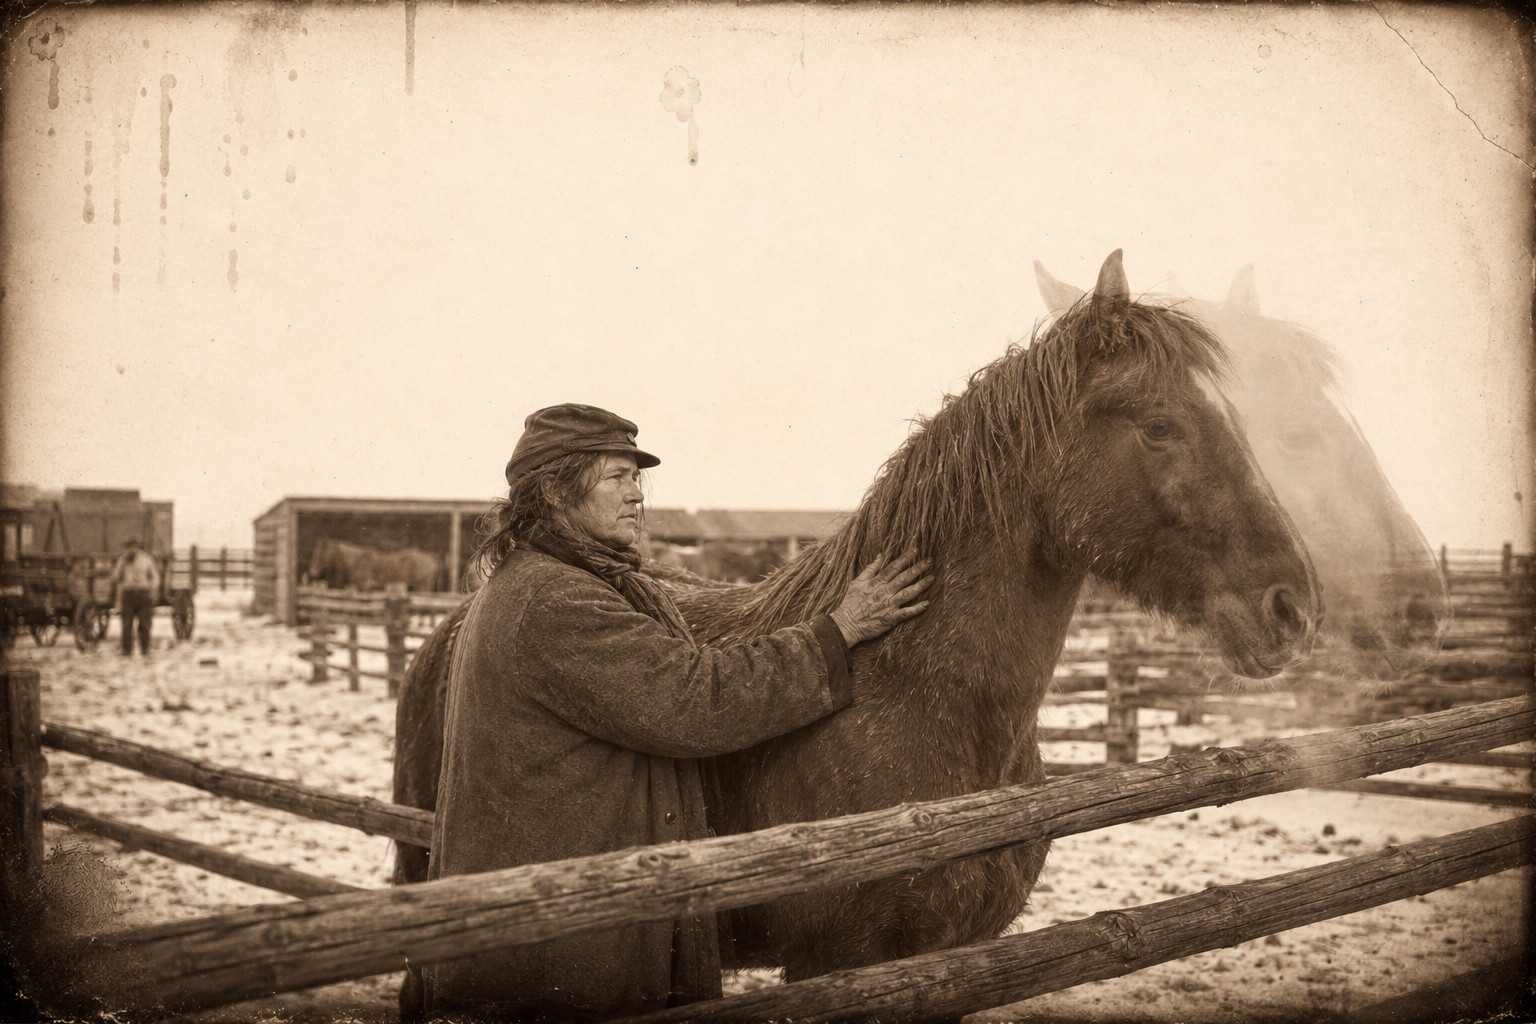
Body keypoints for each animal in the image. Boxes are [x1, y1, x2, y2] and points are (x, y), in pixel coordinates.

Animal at [392, 250, 1321, 1000]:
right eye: (1161, 426)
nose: (1294, 606)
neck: (913, 695)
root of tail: (455, 626)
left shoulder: (958, 955)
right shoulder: (840, 960)